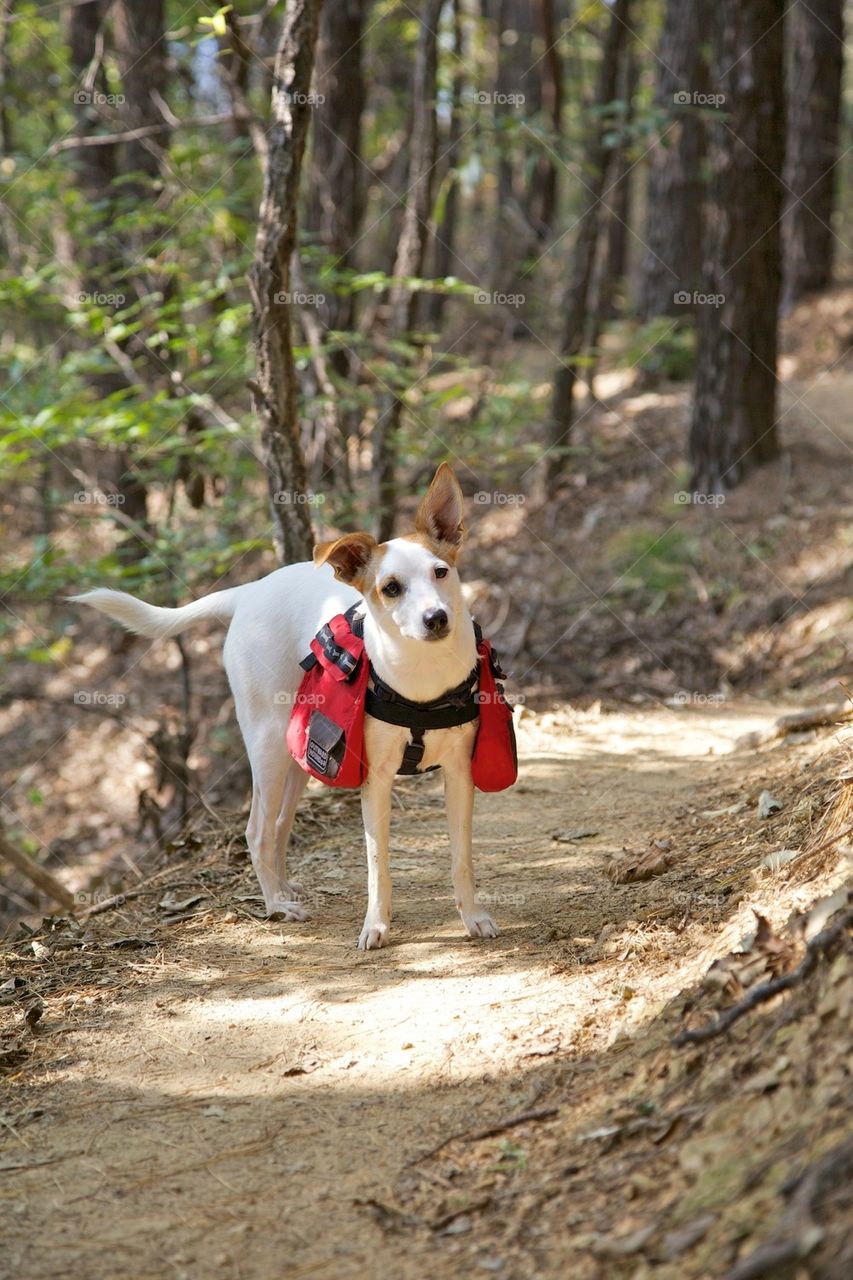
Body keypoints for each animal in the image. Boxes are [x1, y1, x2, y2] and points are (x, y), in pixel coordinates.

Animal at [74, 465, 499, 947]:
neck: (422, 676)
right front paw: (376, 926)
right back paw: (276, 905)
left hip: (299, 753)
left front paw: (472, 917)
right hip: (268, 745)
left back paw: (282, 887)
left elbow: (461, 857)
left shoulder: (460, 773)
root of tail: (247, 592)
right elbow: (378, 868)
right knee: (257, 831)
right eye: (391, 588)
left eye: (441, 571)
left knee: (278, 826)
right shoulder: (375, 780)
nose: (436, 618)